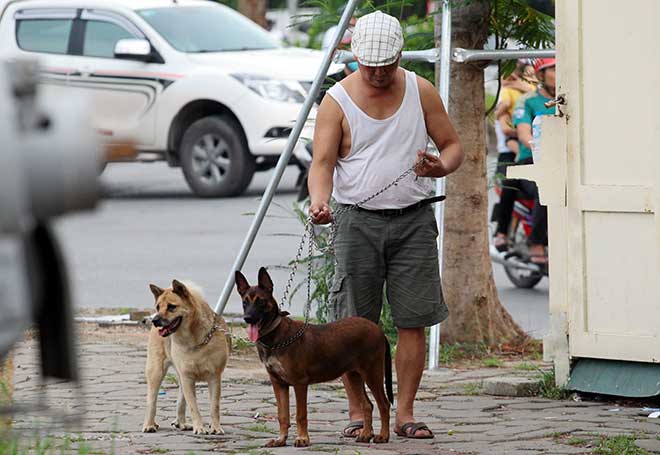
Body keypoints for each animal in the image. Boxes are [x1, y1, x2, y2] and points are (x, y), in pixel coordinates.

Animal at [142, 280, 229, 436]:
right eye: (158, 306)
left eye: (171, 307)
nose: (155, 320)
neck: (194, 340)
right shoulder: (188, 378)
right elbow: (194, 406)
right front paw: (199, 427)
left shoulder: (214, 378)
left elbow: (214, 406)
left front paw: (216, 427)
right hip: (156, 372)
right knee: (151, 400)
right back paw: (149, 424)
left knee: (180, 402)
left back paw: (181, 423)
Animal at [236, 268, 392, 448]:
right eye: (244, 302)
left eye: (260, 302)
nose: (247, 318)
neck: (275, 336)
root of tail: (379, 330)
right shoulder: (278, 383)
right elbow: (282, 415)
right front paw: (281, 439)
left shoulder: (300, 383)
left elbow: (300, 415)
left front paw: (303, 438)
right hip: (354, 375)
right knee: (367, 405)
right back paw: (365, 434)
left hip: (372, 372)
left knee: (384, 404)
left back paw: (383, 436)